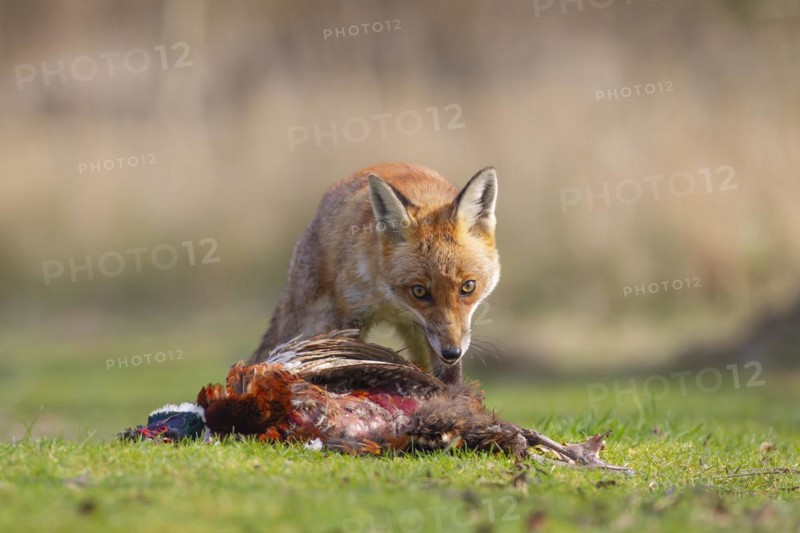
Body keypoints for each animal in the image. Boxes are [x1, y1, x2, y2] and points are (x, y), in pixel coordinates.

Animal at [249, 163, 500, 384]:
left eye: (468, 287)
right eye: (419, 291)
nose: (451, 352)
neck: (391, 301)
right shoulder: (351, 319)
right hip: (313, 322)